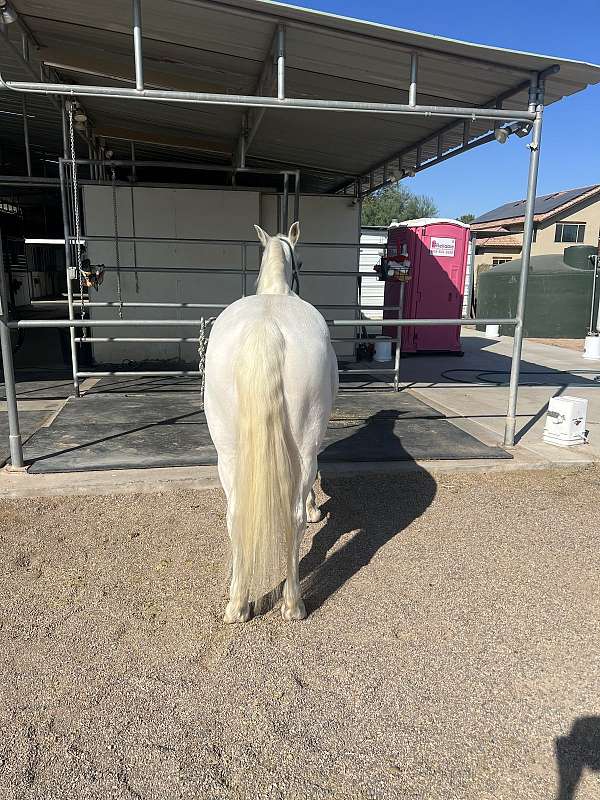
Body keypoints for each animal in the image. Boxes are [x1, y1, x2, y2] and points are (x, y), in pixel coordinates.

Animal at [205, 222, 338, 620]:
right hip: (303, 443)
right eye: (302, 261)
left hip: (227, 451)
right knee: (293, 519)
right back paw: (293, 604)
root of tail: (266, 328)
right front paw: (314, 508)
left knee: (235, 516)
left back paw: (237, 604)